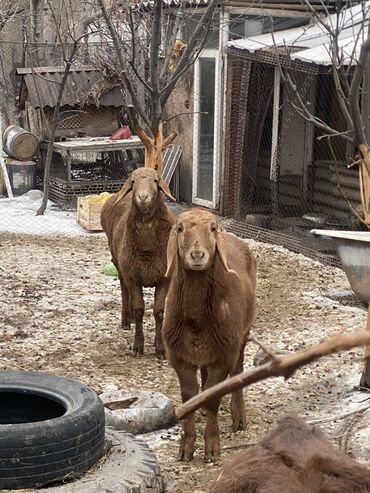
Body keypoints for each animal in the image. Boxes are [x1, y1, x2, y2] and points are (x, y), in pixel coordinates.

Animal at [101, 167, 176, 356]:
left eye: (156, 181)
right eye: (133, 182)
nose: (143, 197)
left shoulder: (165, 278)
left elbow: (159, 312)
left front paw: (160, 348)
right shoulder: (132, 277)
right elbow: (139, 309)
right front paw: (138, 346)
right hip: (119, 263)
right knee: (123, 289)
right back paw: (127, 320)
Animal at [163, 208, 256, 462]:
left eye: (212, 229)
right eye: (180, 228)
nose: (197, 255)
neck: (197, 321)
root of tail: (233, 237)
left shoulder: (224, 356)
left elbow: (213, 399)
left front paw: (212, 448)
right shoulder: (180, 357)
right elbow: (189, 397)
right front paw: (186, 447)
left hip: (241, 336)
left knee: (238, 372)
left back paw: (239, 417)